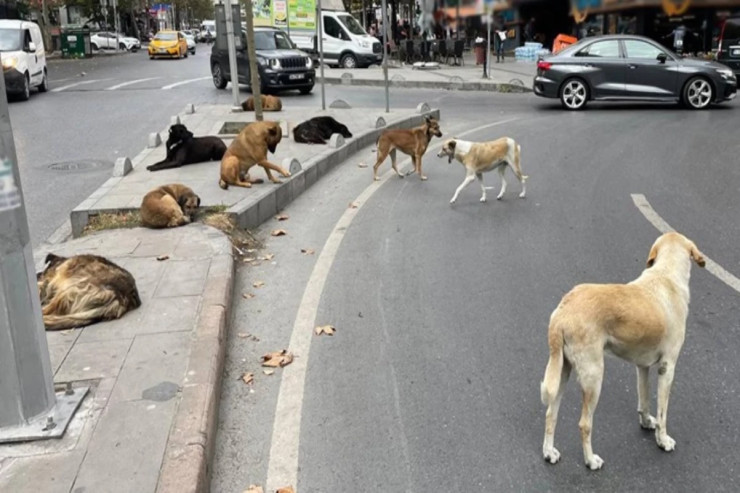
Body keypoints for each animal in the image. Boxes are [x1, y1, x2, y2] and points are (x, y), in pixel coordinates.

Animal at [540, 231, 708, 468]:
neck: (666, 274)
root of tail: (563, 311)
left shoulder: (642, 366)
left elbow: (644, 400)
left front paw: (646, 422)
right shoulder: (667, 368)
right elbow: (663, 413)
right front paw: (663, 440)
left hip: (561, 372)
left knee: (550, 413)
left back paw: (549, 452)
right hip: (594, 377)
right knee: (584, 424)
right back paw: (591, 460)